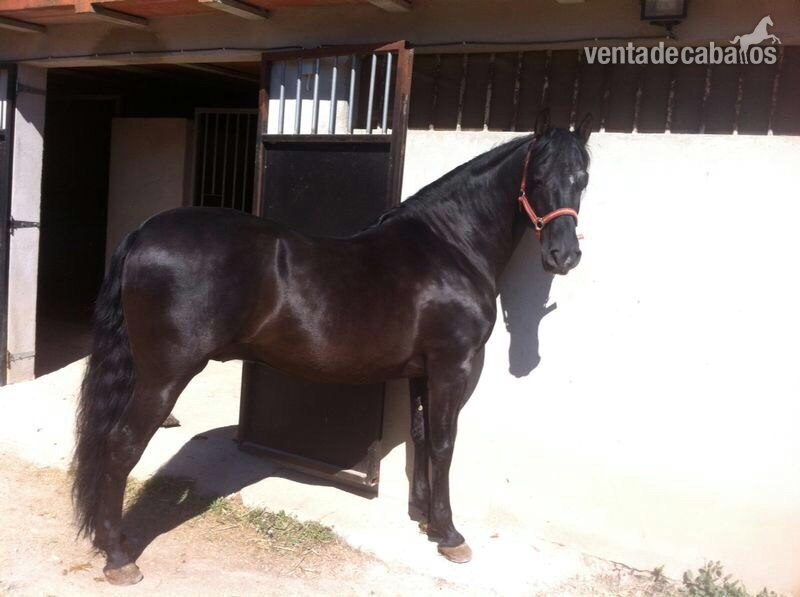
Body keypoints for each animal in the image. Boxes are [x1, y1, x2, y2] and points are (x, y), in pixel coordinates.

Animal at [72, 110, 592, 585]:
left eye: (582, 179)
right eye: (538, 177)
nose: (563, 256)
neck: (450, 248)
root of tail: (144, 233)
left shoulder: (423, 372)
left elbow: (423, 438)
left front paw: (423, 518)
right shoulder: (453, 366)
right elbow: (444, 444)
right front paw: (449, 535)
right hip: (165, 376)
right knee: (121, 445)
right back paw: (119, 558)